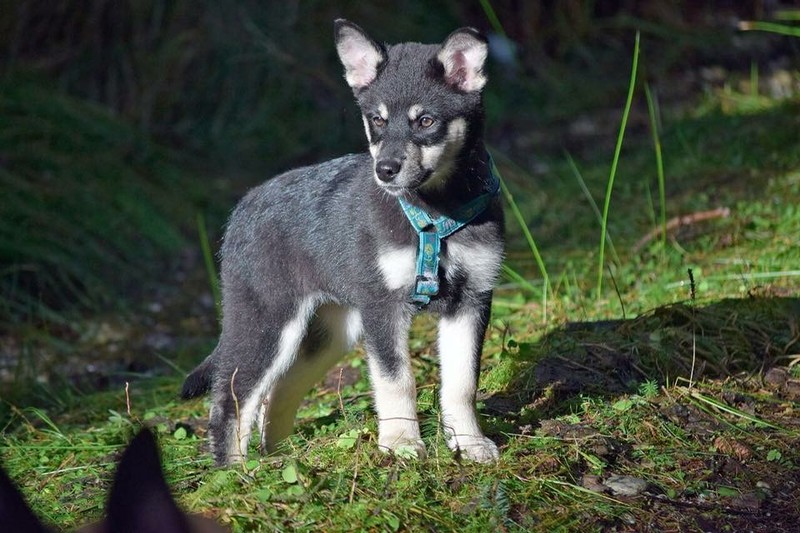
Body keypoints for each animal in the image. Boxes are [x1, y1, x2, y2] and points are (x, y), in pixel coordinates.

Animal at [181, 19, 504, 465]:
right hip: (268, 321)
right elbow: (396, 380)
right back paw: (234, 471)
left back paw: (277, 460)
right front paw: (401, 444)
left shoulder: (472, 299)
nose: (385, 170)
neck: (435, 215)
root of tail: (243, 208)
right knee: (232, 397)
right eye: (376, 121)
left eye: (425, 121)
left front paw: (470, 444)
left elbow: (462, 383)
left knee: (278, 390)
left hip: (330, 333)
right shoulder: (383, 306)